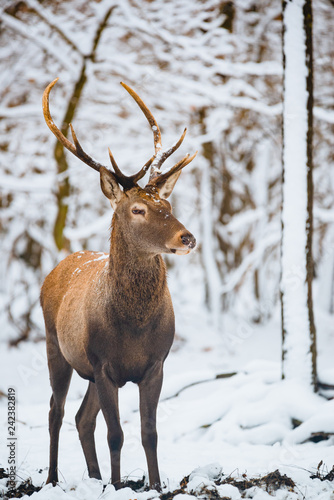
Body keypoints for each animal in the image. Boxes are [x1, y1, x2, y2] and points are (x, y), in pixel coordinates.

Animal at [39, 80, 196, 490]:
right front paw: (119, 484)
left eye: (167, 204)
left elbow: (148, 432)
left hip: (88, 370)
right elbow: (116, 434)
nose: (187, 237)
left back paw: (95, 478)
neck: (134, 327)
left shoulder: (156, 364)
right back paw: (53, 479)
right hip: (56, 346)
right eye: (138, 209)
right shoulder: (104, 363)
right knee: (56, 410)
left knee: (82, 418)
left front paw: (154, 486)